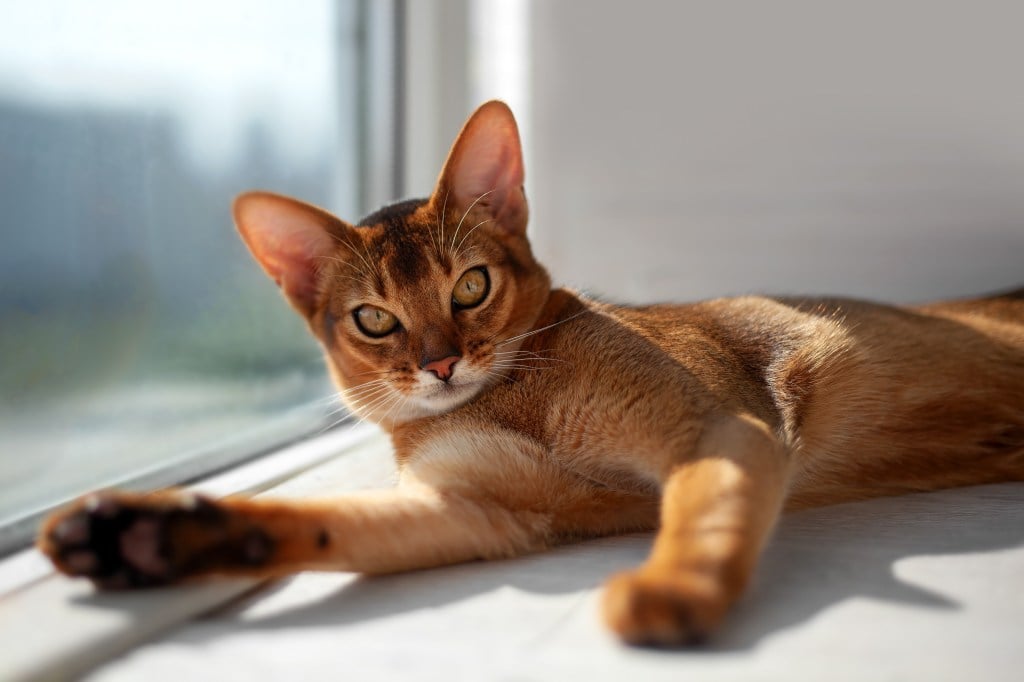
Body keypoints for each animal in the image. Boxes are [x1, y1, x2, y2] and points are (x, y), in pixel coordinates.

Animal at [37, 100, 1024, 643]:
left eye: (471, 286)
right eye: (374, 319)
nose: (440, 363)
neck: (506, 401)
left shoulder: (716, 431)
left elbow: (703, 518)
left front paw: (666, 595)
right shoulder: (477, 512)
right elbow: (323, 523)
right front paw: (145, 534)